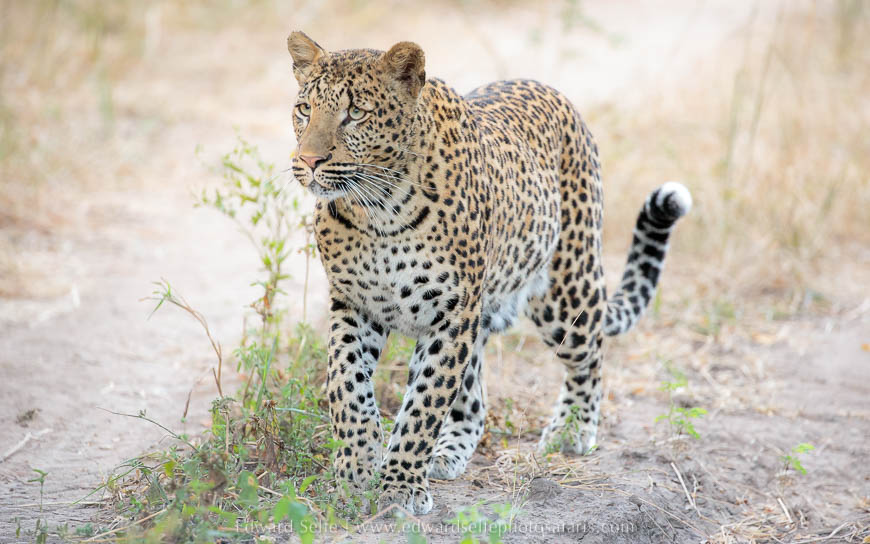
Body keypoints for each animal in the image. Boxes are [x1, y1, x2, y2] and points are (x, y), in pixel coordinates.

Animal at [286, 31, 691, 515]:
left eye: (356, 113)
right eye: (304, 109)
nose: (309, 161)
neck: (378, 210)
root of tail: (551, 91)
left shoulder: (451, 314)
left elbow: (424, 403)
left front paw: (400, 485)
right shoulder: (354, 304)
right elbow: (347, 387)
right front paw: (355, 469)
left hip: (565, 293)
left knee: (589, 355)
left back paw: (571, 430)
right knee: (474, 400)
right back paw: (448, 452)